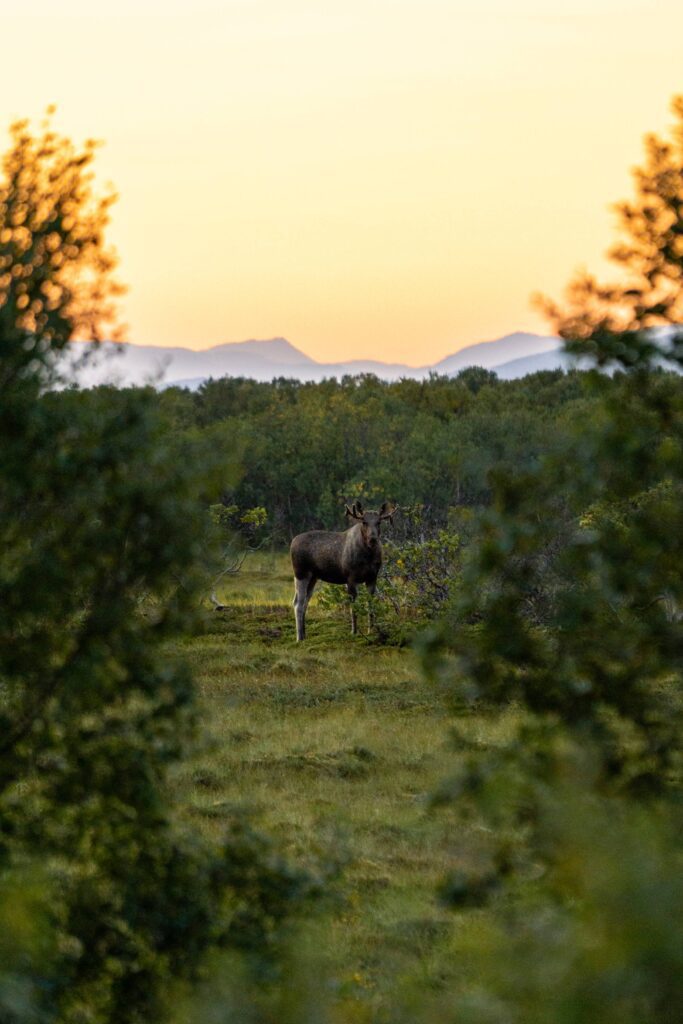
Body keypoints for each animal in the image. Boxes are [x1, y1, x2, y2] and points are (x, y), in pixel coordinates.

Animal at [288, 501, 395, 638]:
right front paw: (354, 631)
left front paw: (371, 630)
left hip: (313, 577)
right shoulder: (350, 577)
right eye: (364, 522)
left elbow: (370, 603)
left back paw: (304, 634)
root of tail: (292, 542)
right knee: (298, 603)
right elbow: (353, 606)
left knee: (305, 601)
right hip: (301, 573)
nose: (373, 539)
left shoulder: (372, 576)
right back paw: (299, 637)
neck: (368, 556)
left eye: (379, 522)